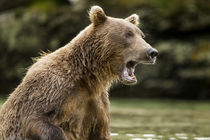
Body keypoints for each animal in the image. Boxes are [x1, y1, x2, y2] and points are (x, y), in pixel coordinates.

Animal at [0, 5, 158, 140]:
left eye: (142, 35)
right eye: (128, 34)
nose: (152, 52)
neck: (88, 76)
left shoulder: (97, 103)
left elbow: (100, 132)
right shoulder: (53, 88)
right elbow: (35, 119)